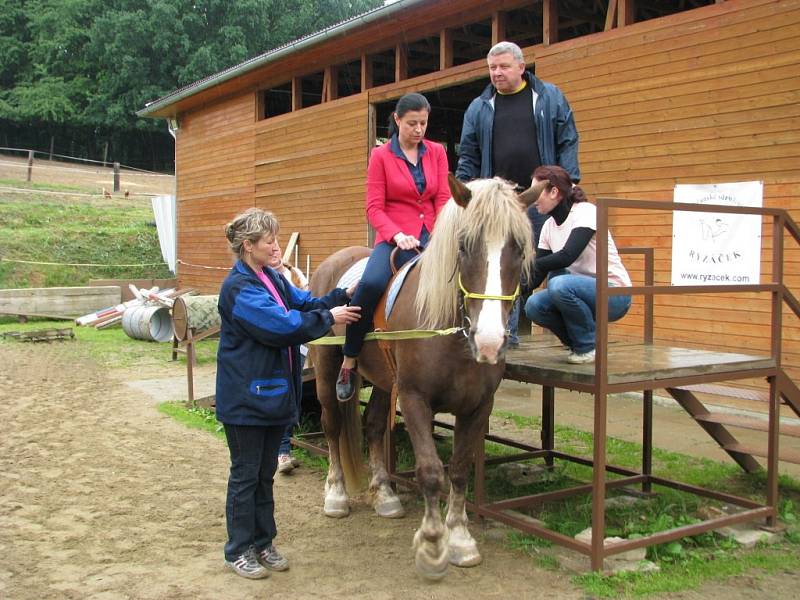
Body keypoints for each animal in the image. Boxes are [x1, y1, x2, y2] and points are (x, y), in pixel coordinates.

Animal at [310, 176, 540, 580]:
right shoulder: (415, 398)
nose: (490, 340)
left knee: (373, 426)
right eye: (464, 245)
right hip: (327, 372)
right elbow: (431, 472)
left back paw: (385, 495)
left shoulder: (479, 407)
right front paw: (433, 545)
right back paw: (336, 494)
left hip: (385, 382)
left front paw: (461, 540)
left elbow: (460, 470)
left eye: (519, 246)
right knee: (333, 425)